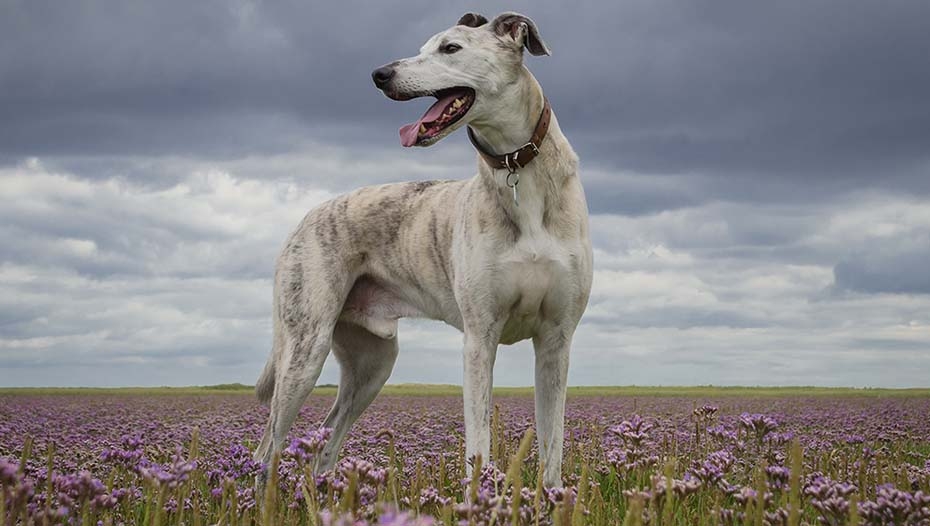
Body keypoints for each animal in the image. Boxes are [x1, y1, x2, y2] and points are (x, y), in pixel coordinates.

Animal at [250, 11, 592, 490]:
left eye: (451, 48)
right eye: (422, 47)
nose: (379, 74)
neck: (517, 170)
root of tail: (305, 218)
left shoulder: (556, 342)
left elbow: (553, 450)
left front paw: (553, 497)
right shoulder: (479, 338)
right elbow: (478, 443)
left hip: (372, 365)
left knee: (327, 440)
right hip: (304, 349)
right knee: (267, 448)